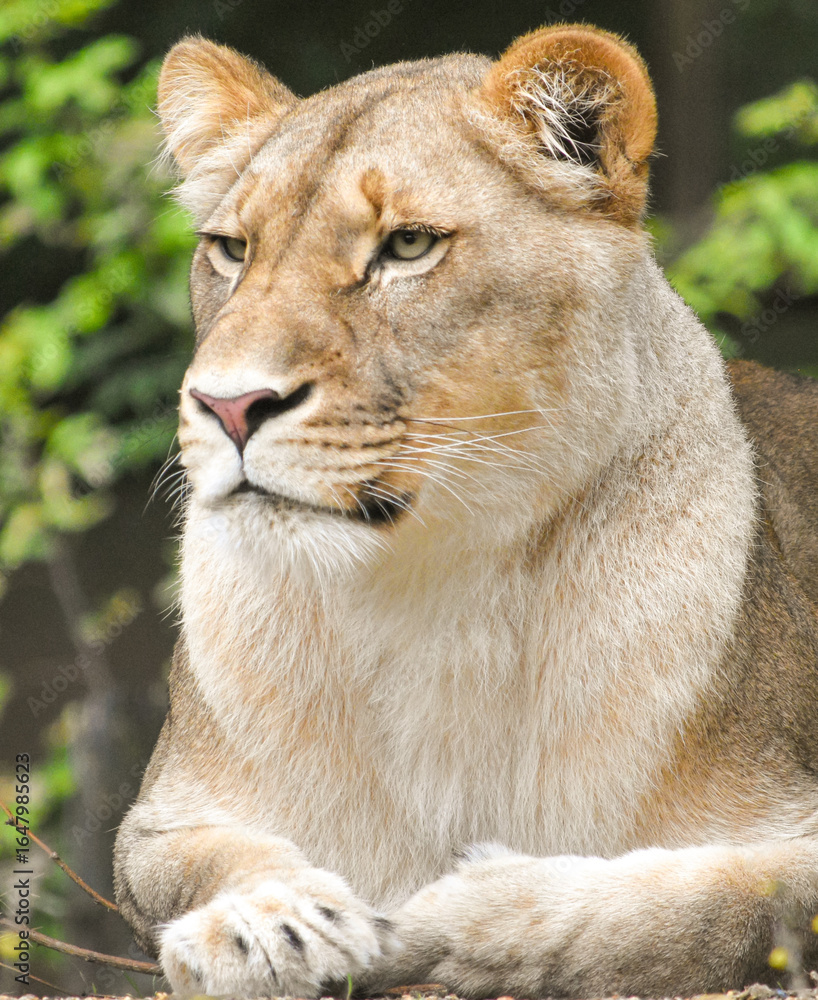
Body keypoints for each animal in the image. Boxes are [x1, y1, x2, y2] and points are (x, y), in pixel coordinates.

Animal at [113, 24, 818, 999]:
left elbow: (714, 904)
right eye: (230, 248)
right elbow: (205, 863)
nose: (228, 405)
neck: (431, 582)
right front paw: (264, 924)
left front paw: (451, 913)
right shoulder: (162, 822)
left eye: (409, 245)